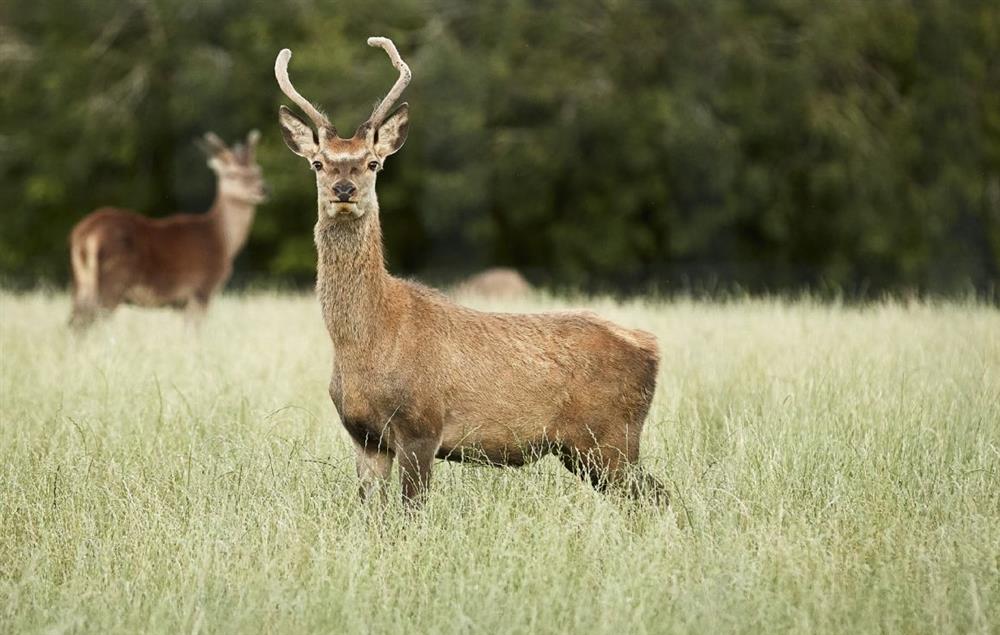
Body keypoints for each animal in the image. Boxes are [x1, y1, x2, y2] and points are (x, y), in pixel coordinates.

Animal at [68, 129, 268, 328]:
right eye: (231, 174)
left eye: (258, 171)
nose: (262, 190)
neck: (223, 241)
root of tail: (85, 234)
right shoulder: (201, 288)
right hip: (113, 280)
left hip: (81, 284)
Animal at [276, 38, 664, 506]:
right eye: (318, 163)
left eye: (372, 163)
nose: (344, 189)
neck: (365, 343)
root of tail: (652, 349)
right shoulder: (364, 438)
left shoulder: (422, 424)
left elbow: (412, 511)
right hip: (590, 447)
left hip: (610, 437)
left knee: (658, 496)